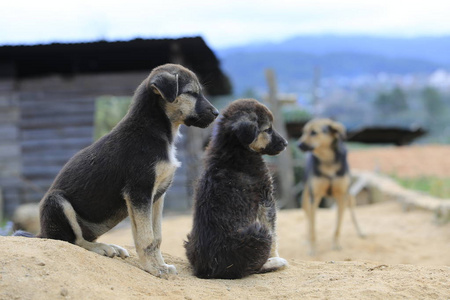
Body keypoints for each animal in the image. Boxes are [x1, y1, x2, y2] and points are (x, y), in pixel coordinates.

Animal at [13, 64, 218, 278]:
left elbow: (157, 236)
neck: (155, 130)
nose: (217, 113)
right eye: (191, 93)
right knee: (74, 241)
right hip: (57, 202)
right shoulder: (138, 193)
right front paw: (152, 268)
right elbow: (146, 237)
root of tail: (43, 233)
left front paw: (161, 265)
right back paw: (102, 248)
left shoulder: (157, 195)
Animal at [185, 98, 288, 278]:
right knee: (249, 268)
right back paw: (273, 263)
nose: (286, 144)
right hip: (258, 233)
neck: (234, 148)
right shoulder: (266, 200)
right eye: (268, 129)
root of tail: (206, 270)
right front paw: (275, 255)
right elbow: (274, 232)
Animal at [298, 118, 366, 254]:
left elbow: (338, 226)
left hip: (350, 197)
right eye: (304, 132)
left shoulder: (341, 197)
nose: (299, 145)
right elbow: (313, 227)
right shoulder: (314, 198)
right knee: (308, 220)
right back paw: (307, 239)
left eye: (313, 132)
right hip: (305, 199)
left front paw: (336, 244)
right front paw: (312, 248)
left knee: (353, 215)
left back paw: (360, 231)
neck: (327, 160)